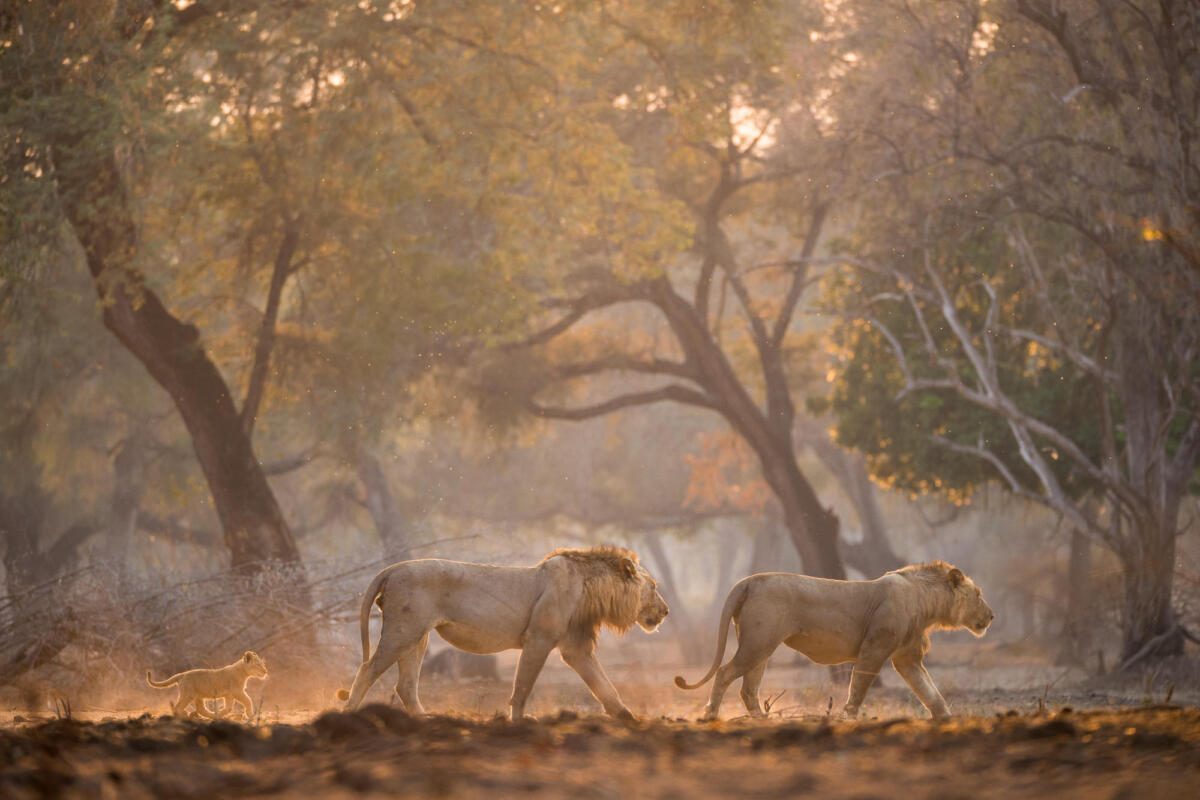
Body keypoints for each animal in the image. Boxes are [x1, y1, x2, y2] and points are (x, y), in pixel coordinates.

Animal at [335, 546, 669, 720]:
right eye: (653, 587)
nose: (666, 612)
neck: (592, 589)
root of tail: (392, 568)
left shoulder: (576, 647)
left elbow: (604, 686)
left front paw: (628, 718)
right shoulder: (539, 639)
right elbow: (522, 686)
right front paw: (519, 721)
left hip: (418, 636)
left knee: (405, 685)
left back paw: (425, 720)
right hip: (403, 631)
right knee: (367, 669)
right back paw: (348, 714)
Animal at [675, 561, 993, 721]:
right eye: (978, 594)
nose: (991, 616)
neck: (927, 603)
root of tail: (749, 580)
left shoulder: (907, 659)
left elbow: (930, 692)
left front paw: (947, 719)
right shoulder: (875, 648)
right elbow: (859, 687)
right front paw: (849, 716)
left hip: (760, 647)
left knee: (748, 688)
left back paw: (762, 720)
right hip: (758, 644)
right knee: (724, 673)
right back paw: (711, 715)